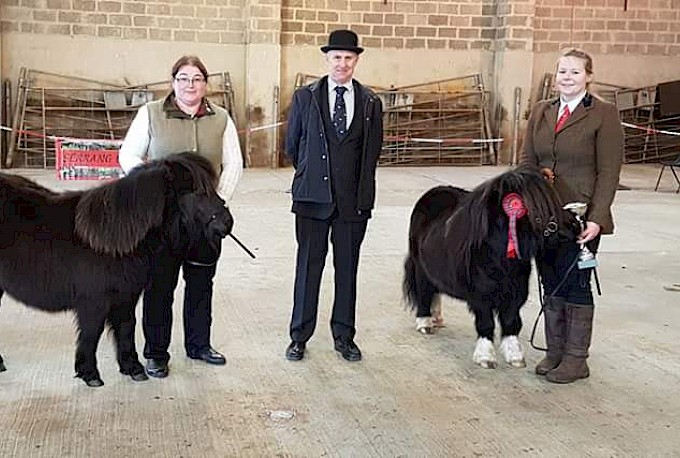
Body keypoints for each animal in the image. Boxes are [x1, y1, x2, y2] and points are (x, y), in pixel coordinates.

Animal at [0, 154, 231, 386]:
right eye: (197, 192)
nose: (227, 223)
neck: (114, 239)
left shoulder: (125, 297)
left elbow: (126, 328)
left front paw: (133, 368)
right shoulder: (94, 302)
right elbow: (92, 333)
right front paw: (90, 374)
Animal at [404, 165, 572, 368]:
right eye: (533, 208)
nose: (570, 229)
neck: (498, 256)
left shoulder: (515, 293)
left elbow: (511, 321)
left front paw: (515, 356)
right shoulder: (481, 297)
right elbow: (486, 323)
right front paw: (486, 357)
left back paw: (436, 318)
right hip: (420, 268)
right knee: (424, 292)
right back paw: (425, 323)